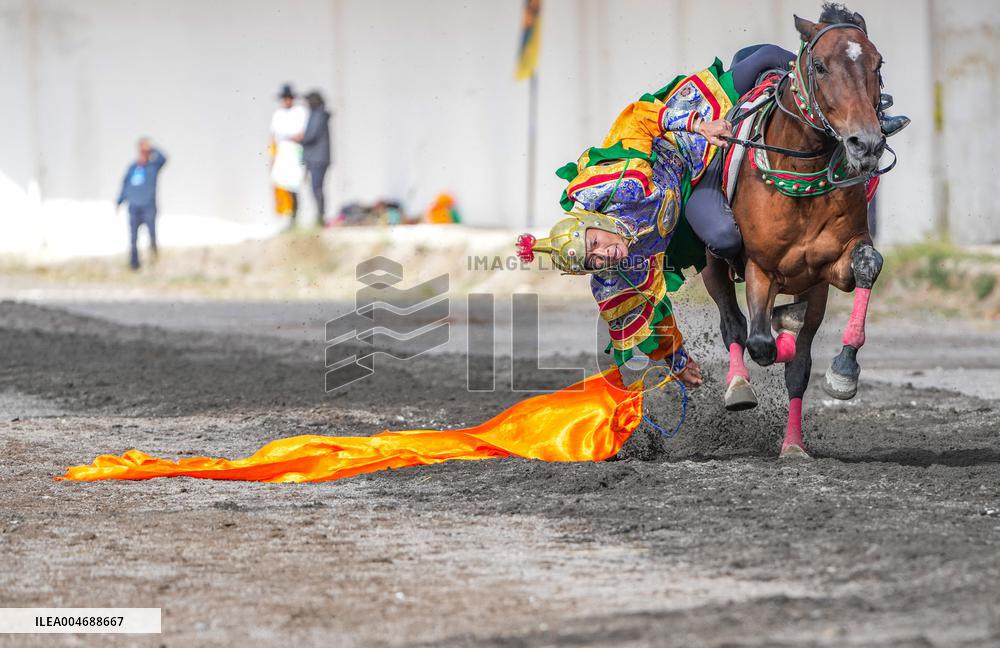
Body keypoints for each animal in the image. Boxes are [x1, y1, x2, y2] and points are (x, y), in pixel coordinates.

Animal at [703, 6, 895, 458]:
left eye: (878, 64)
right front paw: (775, 336)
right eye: (821, 66)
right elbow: (759, 342)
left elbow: (867, 264)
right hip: (712, 261)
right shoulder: (759, 268)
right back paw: (739, 383)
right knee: (734, 325)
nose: (867, 143)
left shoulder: (830, 267)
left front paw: (843, 372)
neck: (801, 173)